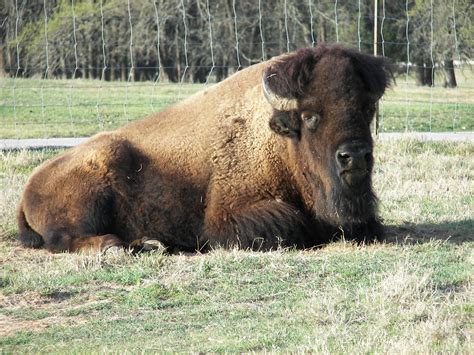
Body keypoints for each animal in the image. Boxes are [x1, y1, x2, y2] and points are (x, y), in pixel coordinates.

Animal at [16, 45, 390, 253]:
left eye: (367, 108)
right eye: (310, 116)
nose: (355, 156)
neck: (278, 138)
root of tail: (29, 187)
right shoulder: (228, 216)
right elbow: (292, 224)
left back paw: (148, 245)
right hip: (88, 199)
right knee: (66, 240)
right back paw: (115, 249)